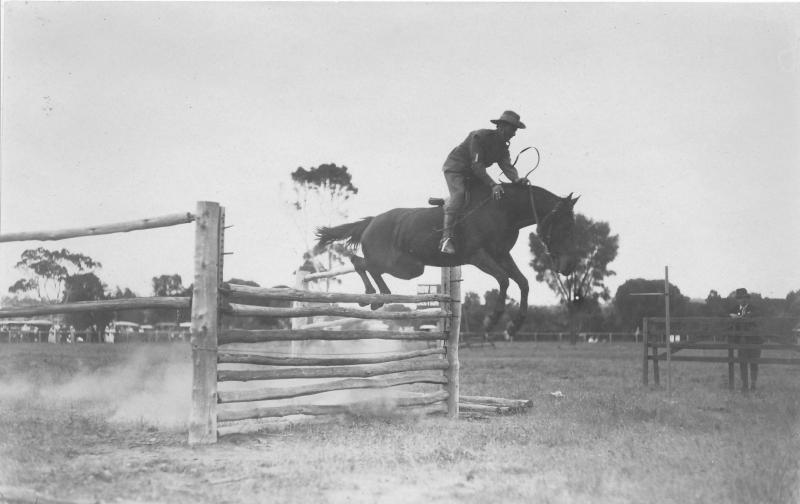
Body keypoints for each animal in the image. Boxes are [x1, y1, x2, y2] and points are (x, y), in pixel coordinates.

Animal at [314, 179, 580, 336]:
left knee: (367, 266)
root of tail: (371, 222)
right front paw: (492, 320)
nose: (568, 266)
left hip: (409, 267)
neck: (502, 210)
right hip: (408, 266)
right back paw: (372, 296)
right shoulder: (478, 256)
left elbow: (522, 282)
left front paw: (514, 326)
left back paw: (379, 297)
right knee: (360, 262)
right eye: (566, 226)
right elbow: (504, 280)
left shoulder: (502, 255)